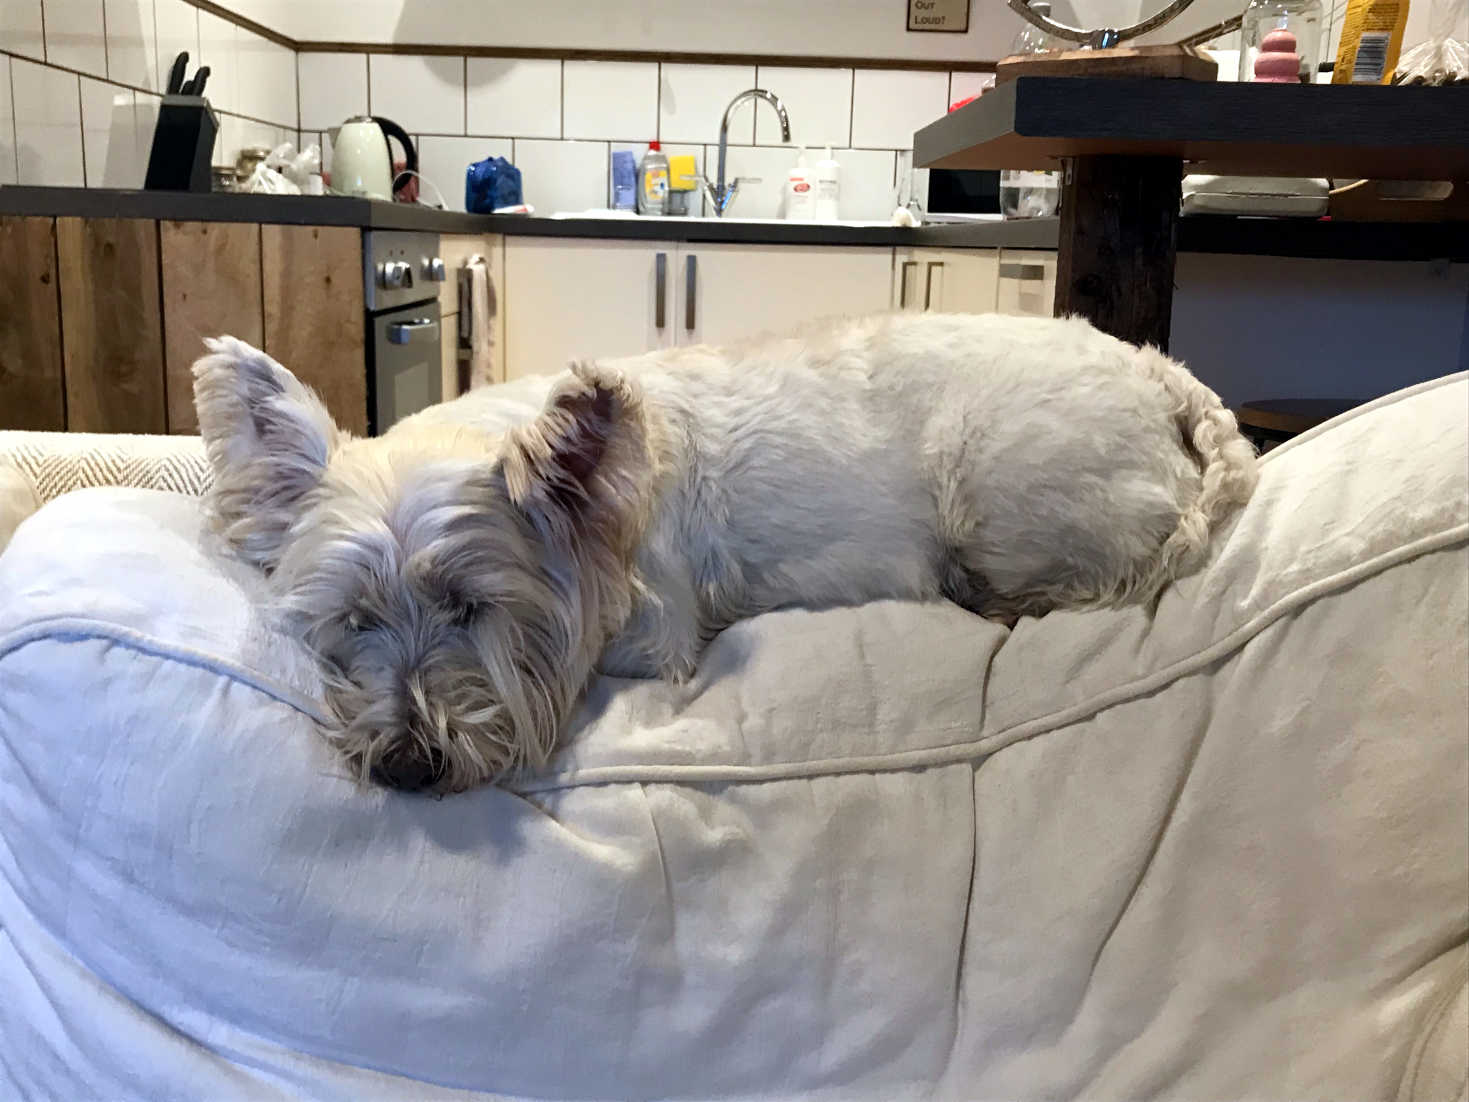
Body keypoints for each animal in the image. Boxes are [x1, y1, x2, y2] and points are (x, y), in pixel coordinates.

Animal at [189, 311, 1257, 793]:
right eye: (352, 619)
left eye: (473, 607)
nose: (410, 764)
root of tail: (1160, 372)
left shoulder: (656, 631)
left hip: (994, 487)